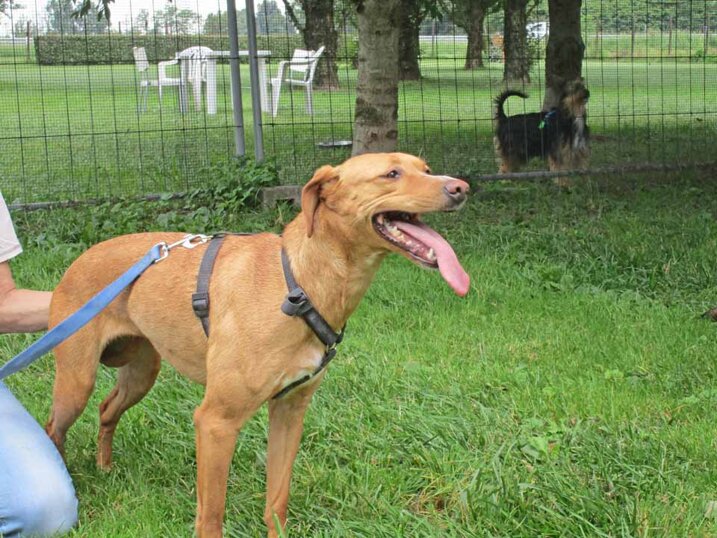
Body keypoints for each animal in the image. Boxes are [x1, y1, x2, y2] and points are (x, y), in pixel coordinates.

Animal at [44, 153, 470, 537]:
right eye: (391, 173)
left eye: (426, 168)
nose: (461, 188)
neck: (299, 282)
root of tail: (80, 258)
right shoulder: (216, 422)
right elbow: (211, 518)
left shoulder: (289, 410)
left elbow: (276, 502)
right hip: (77, 380)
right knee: (54, 428)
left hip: (142, 373)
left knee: (106, 409)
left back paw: (105, 467)